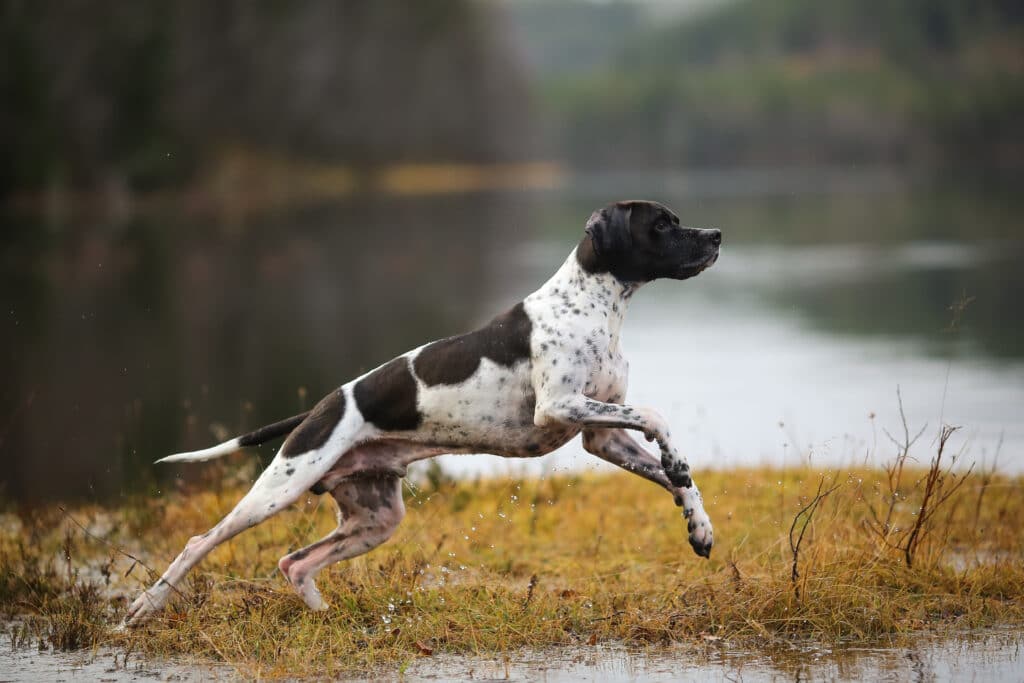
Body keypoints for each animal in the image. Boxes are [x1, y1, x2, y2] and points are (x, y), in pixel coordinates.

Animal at [123, 200, 720, 626]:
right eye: (662, 225)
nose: (716, 236)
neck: (596, 306)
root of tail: (319, 407)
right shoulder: (562, 407)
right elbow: (658, 417)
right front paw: (678, 468)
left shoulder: (599, 436)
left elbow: (676, 474)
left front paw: (698, 525)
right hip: (279, 490)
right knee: (202, 543)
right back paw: (144, 608)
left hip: (375, 518)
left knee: (294, 562)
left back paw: (326, 618)